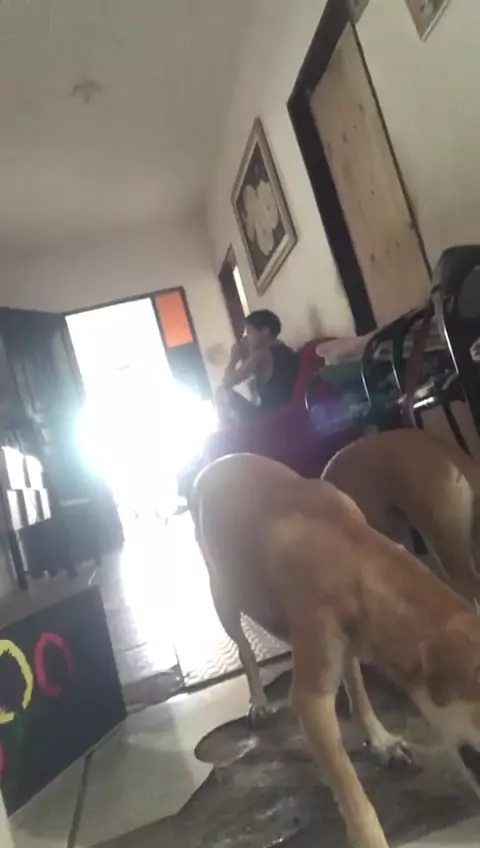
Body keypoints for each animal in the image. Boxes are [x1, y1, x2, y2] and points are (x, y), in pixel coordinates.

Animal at [192, 452, 480, 848]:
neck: (354, 557)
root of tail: (213, 464)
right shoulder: (311, 700)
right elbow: (349, 787)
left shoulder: (350, 641)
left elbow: (358, 689)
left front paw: (380, 740)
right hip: (222, 596)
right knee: (245, 652)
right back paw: (260, 702)